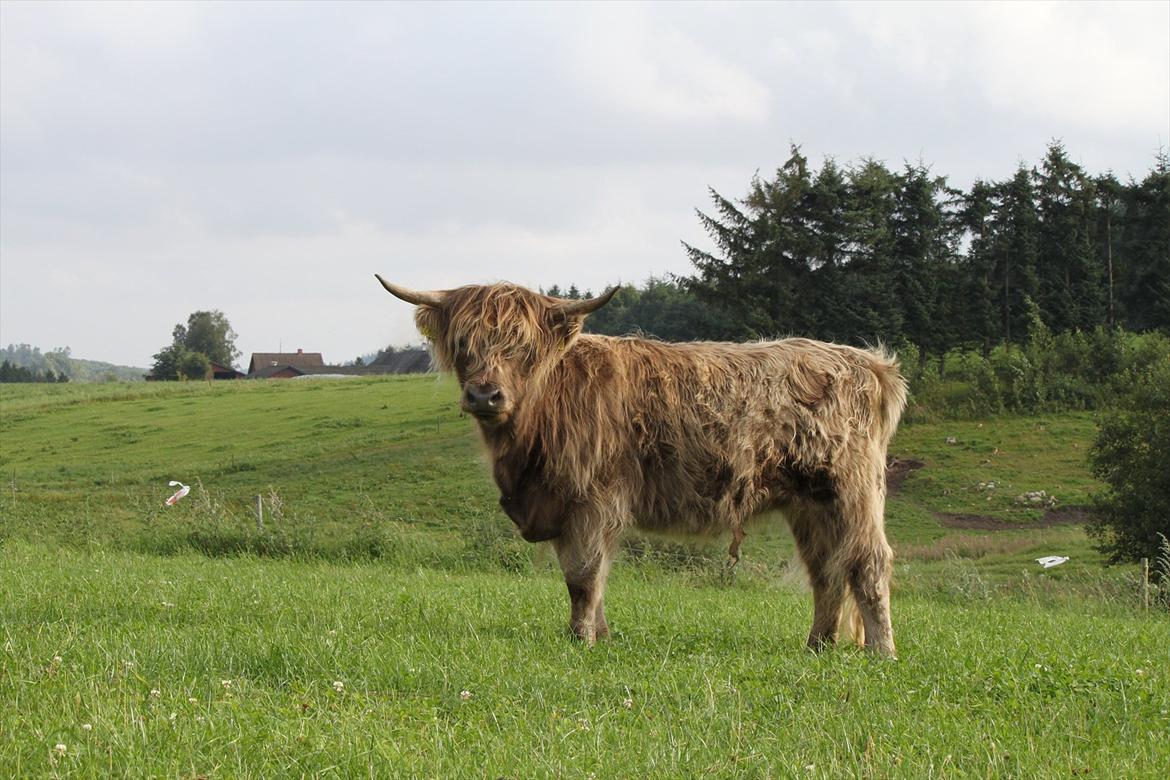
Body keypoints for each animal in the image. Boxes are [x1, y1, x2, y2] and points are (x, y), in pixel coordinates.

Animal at [376, 276, 908, 655]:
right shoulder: (565, 506)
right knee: (827, 570)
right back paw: (817, 647)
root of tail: (869, 363)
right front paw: (603, 636)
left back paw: (881, 653)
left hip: (851, 491)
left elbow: (583, 577)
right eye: (463, 345)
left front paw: (581, 641)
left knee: (868, 562)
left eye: (524, 350)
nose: (485, 395)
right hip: (810, 504)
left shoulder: (592, 501)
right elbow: (587, 577)